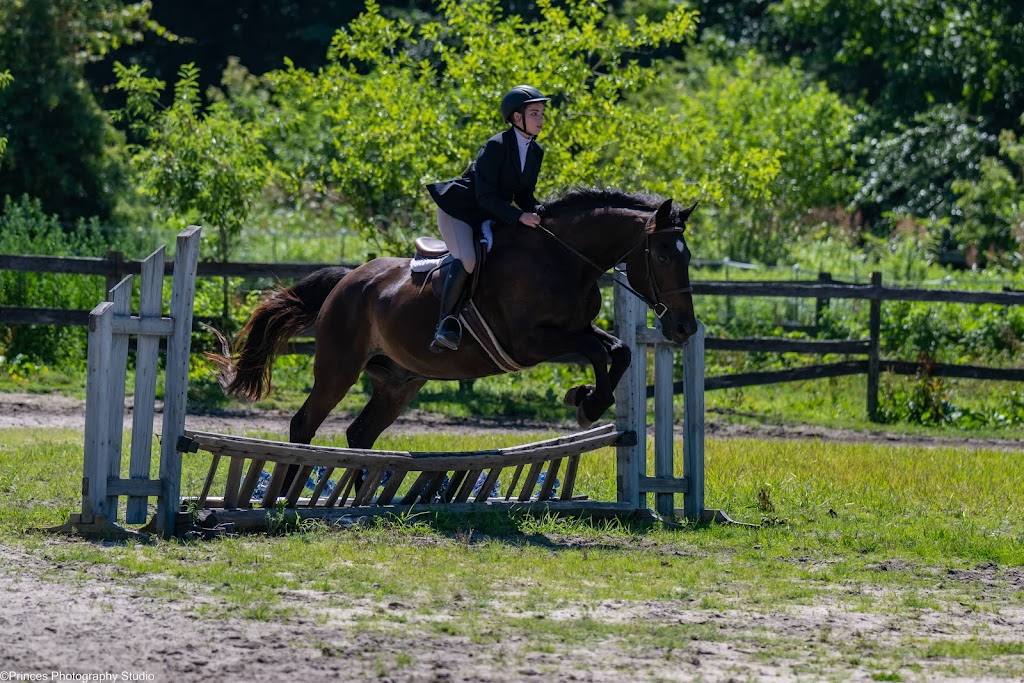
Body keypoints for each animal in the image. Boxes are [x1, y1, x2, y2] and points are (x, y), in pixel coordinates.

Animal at [207, 188, 698, 451]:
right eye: (661, 256)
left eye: (687, 257)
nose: (684, 329)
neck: (563, 259)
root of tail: (348, 280)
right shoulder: (531, 342)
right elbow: (597, 350)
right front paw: (588, 402)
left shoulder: (573, 329)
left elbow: (619, 350)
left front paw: (586, 397)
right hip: (338, 368)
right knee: (304, 424)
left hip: (399, 382)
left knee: (360, 433)